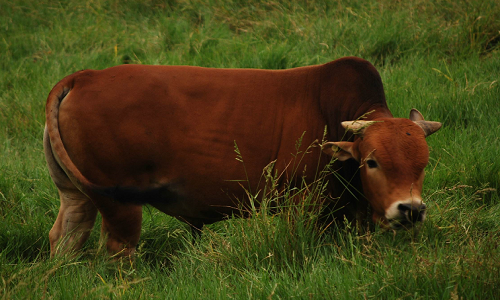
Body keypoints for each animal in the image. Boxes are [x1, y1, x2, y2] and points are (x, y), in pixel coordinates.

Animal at [44, 56, 442, 255]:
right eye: (372, 161)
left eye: (422, 165)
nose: (410, 210)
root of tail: (85, 76)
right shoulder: (302, 205)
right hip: (121, 205)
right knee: (117, 249)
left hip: (77, 196)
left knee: (65, 237)